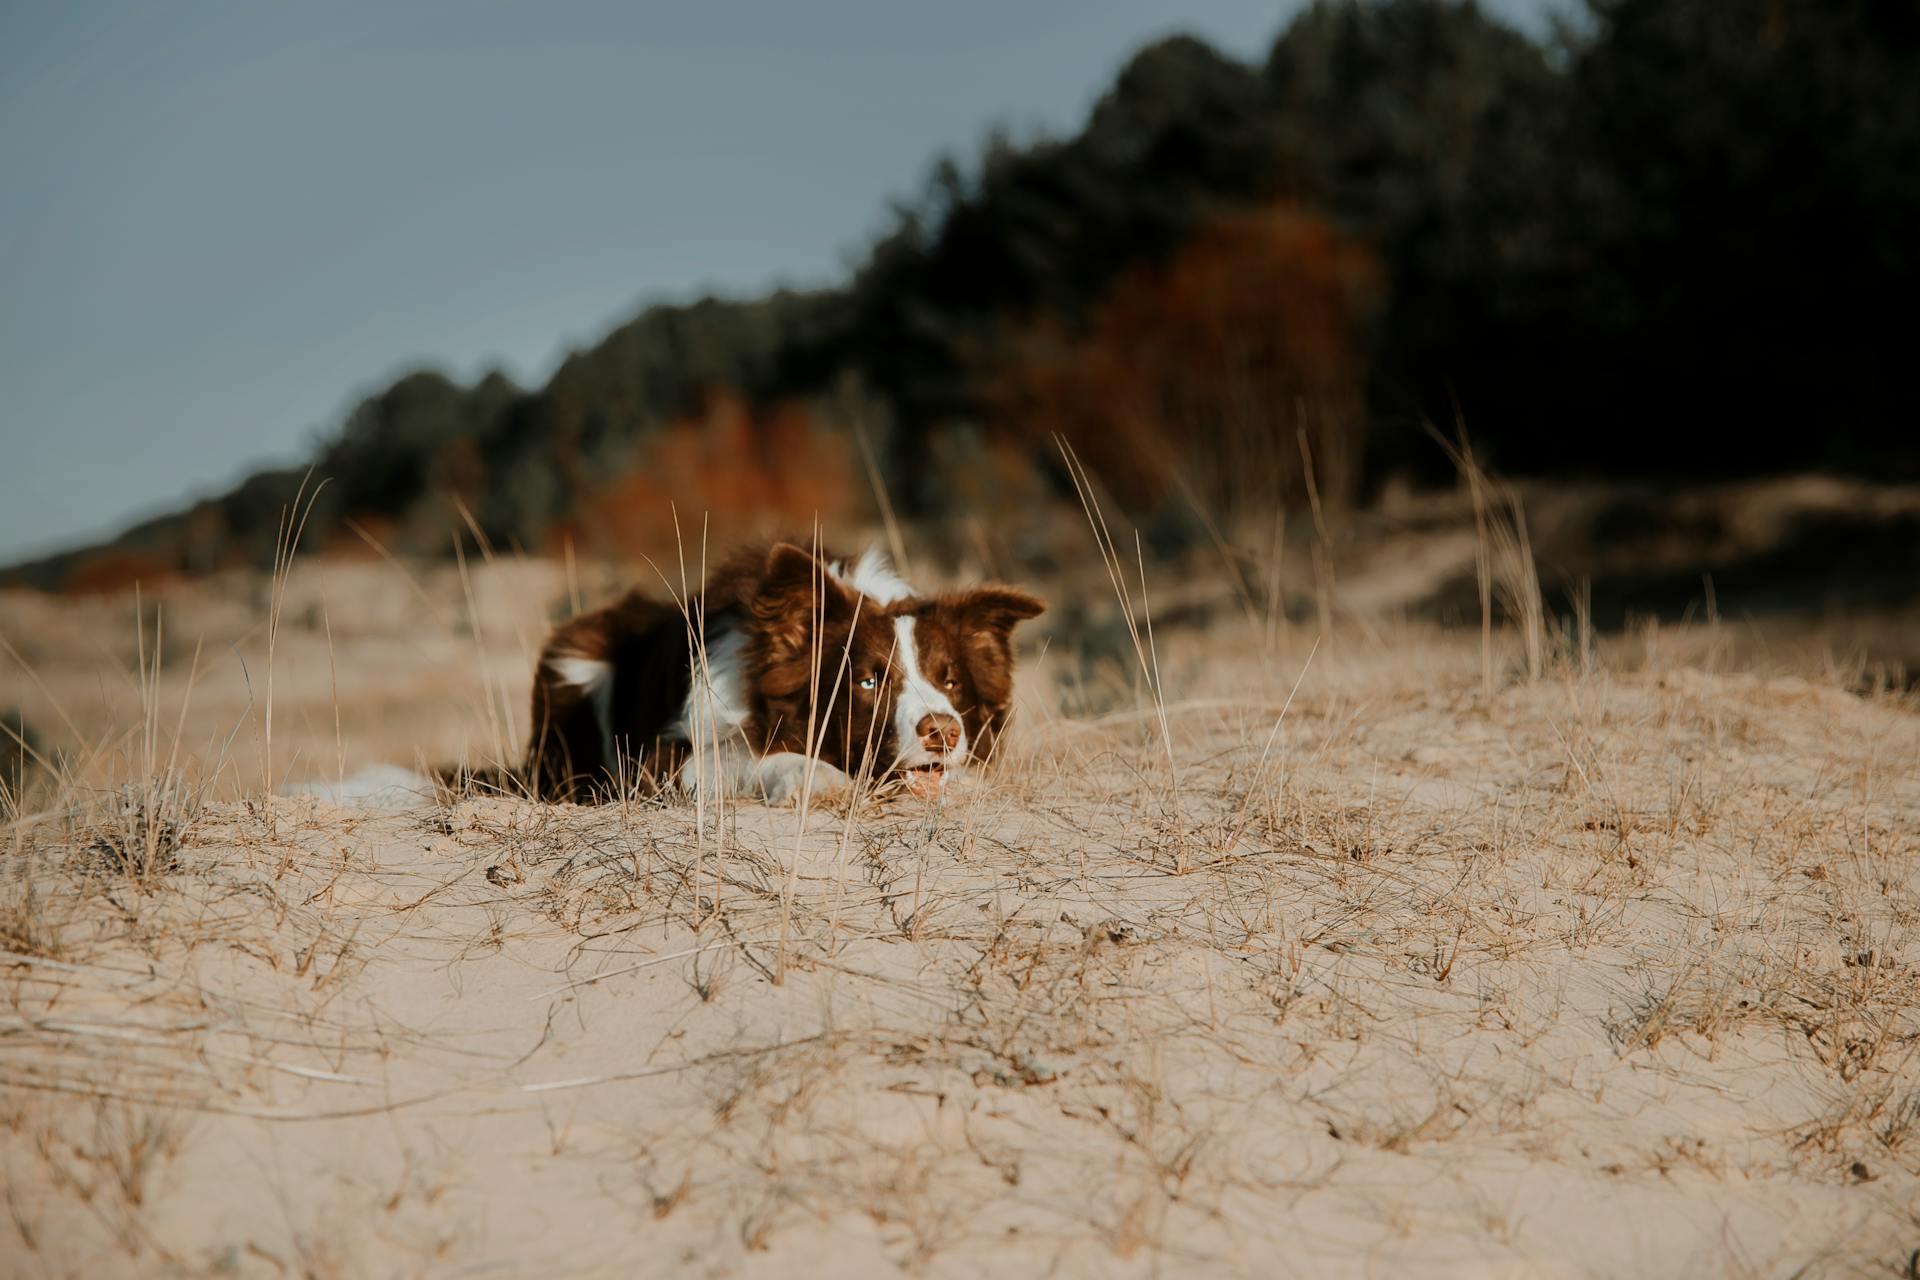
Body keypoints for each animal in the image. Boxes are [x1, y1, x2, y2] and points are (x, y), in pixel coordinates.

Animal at [518, 541, 1044, 802]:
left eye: (950, 682)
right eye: (868, 681)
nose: (943, 732)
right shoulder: (661, 757)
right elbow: (744, 757)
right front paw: (817, 777)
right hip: (574, 661)